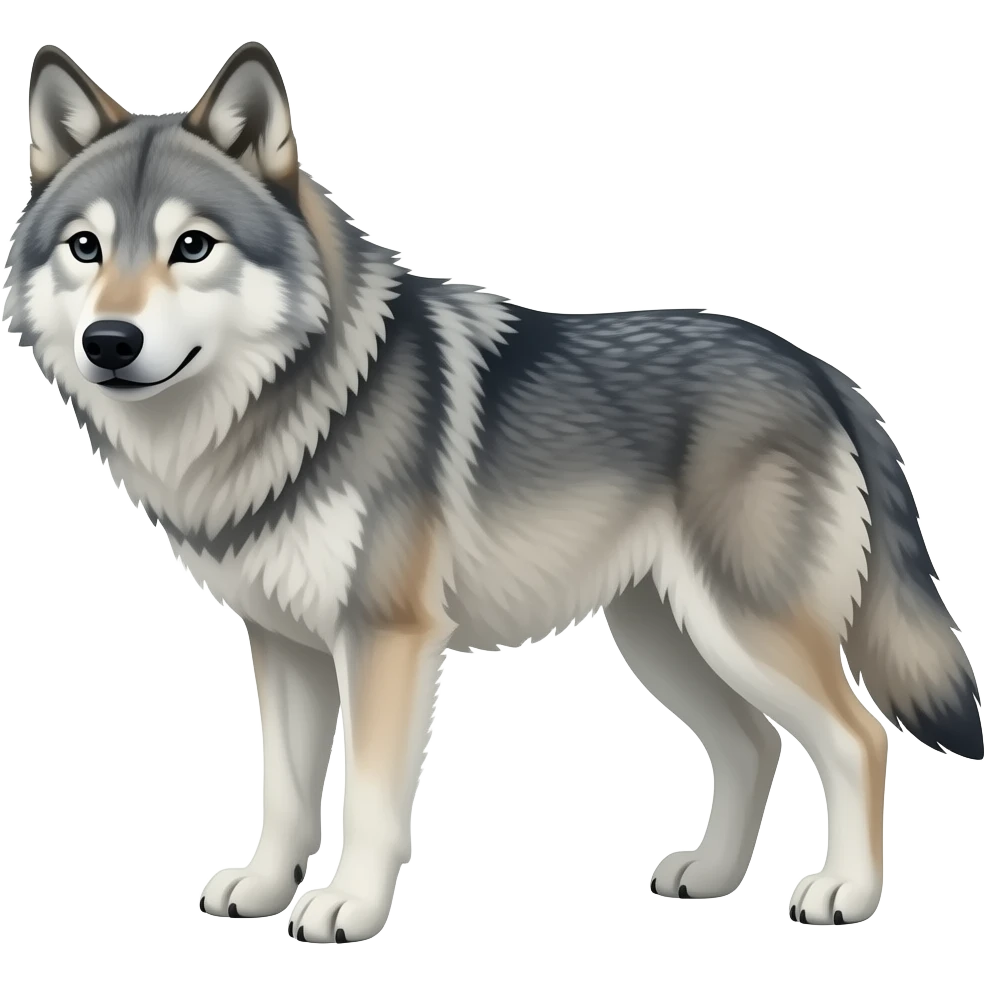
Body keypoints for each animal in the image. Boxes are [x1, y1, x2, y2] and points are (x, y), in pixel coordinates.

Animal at [3, 40, 982, 942]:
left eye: (192, 246)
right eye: (85, 247)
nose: (110, 341)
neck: (287, 410)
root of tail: (817, 368)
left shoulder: (386, 637)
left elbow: (366, 794)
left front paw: (348, 907)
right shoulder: (283, 644)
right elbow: (282, 790)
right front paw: (264, 887)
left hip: (742, 628)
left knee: (858, 738)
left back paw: (843, 892)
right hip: (667, 636)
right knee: (754, 743)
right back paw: (708, 875)